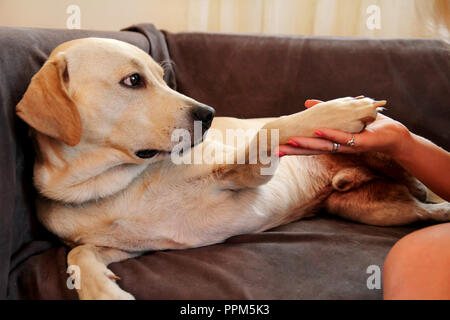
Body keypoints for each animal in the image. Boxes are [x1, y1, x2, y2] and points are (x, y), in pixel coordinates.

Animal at [15, 38, 448, 298]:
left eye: (162, 77)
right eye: (133, 80)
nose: (208, 114)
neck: (116, 185)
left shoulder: (248, 174)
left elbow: (272, 128)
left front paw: (335, 112)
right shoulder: (131, 247)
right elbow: (78, 254)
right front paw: (101, 290)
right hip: (375, 210)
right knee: (426, 212)